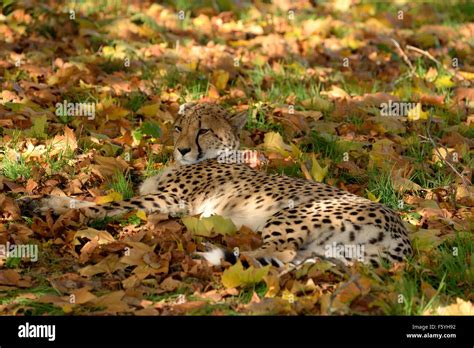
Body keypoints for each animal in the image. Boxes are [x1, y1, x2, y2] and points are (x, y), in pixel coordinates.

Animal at [32, 103, 412, 270]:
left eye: (203, 130)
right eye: (179, 128)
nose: (182, 149)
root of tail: (402, 231)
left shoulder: (168, 200)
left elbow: (102, 205)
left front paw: (47, 207)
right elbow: (92, 198)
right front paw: (46, 201)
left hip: (288, 216)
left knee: (280, 258)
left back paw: (209, 255)